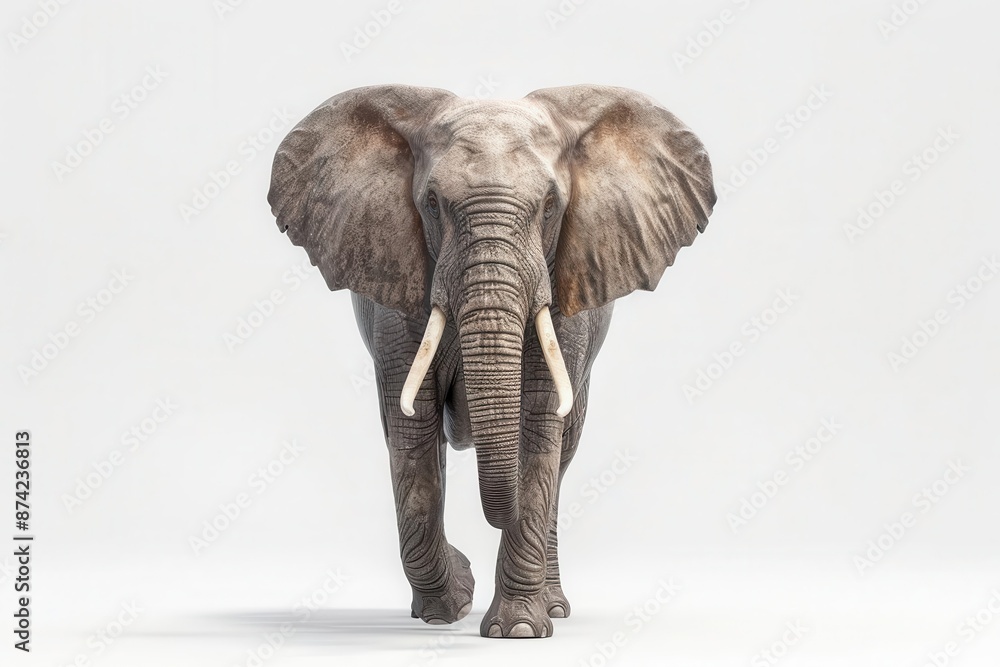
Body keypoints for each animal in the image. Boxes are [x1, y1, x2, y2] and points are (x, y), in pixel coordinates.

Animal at [267, 84, 716, 638]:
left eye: (550, 206)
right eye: (432, 203)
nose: (470, 580)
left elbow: (538, 427)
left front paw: (518, 630)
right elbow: (412, 435)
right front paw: (450, 606)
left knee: (563, 454)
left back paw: (555, 607)